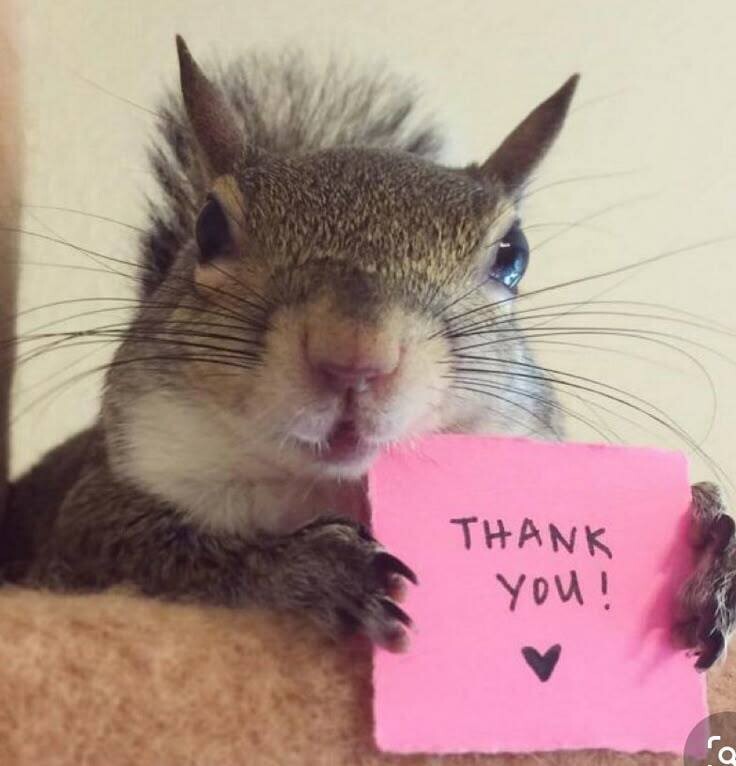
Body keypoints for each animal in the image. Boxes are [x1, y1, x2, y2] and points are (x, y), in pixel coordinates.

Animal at [2, 37, 733, 666]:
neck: (332, 487)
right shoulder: (85, 527)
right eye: (208, 228)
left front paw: (709, 541)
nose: (355, 355)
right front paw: (314, 569)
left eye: (513, 254)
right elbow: (158, 552)